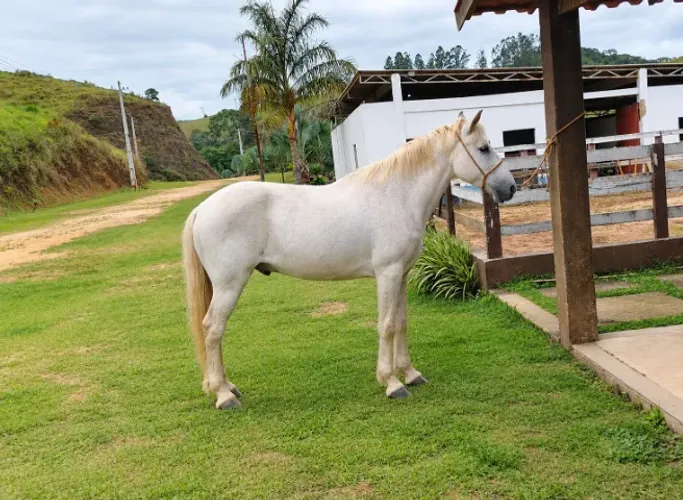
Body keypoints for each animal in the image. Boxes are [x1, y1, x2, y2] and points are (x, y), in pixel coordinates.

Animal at [182, 110, 517, 410]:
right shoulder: (388, 274)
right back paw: (223, 395)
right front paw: (392, 383)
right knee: (212, 329)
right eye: (483, 148)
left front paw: (410, 374)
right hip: (229, 284)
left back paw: (227, 388)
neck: (397, 195)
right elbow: (387, 325)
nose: (511, 187)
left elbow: (402, 322)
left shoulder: (402, 274)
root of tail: (203, 208)